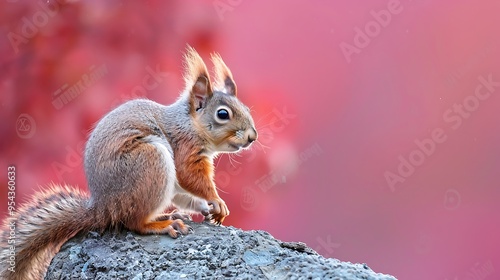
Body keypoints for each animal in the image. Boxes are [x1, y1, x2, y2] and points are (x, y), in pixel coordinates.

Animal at [0, 45, 258, 278]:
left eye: (246, 108)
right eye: (223, 114)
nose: (252, 137)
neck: (190, 123)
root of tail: (103, 208)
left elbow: (185, 194)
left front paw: (208, 208)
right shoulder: (184, 148)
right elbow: (190, 177)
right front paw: (216, 200)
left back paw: (169, 216)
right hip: (151, 162)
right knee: (134, 223)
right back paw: (162, 225)